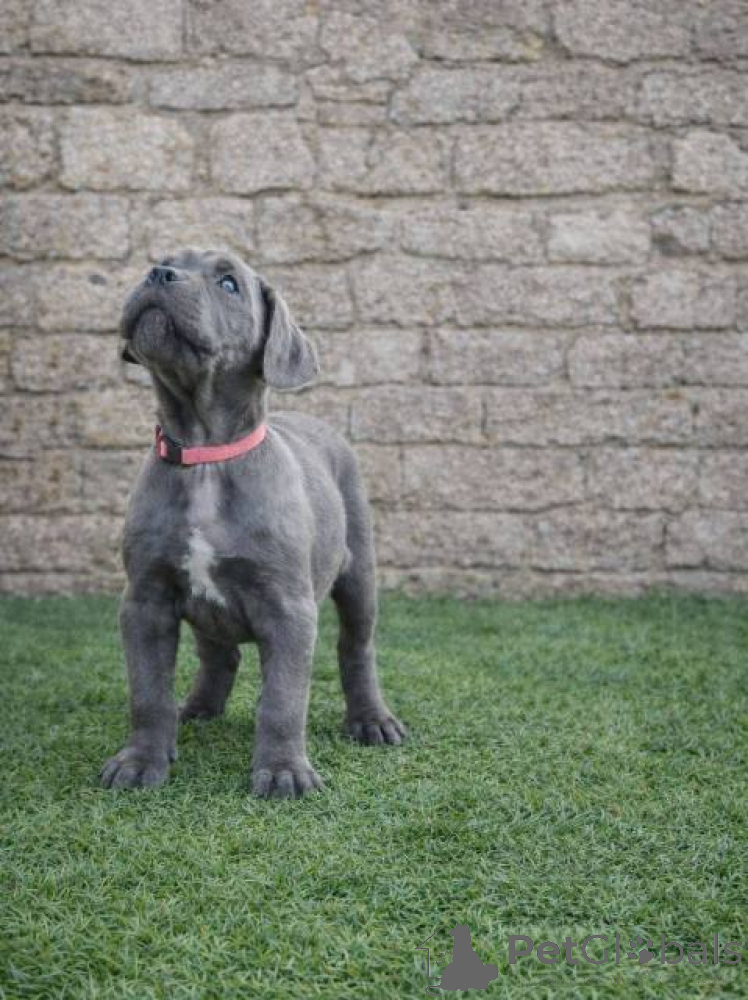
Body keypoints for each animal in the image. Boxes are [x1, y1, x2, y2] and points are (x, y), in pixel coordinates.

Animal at [100, 248, 405, 798]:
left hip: (359, 575)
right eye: (165, 260)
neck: (206, 455)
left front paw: (284, 771)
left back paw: (372, 720)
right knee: (220, 655)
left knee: (357, 647)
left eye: (228, 284)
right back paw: (199, 707)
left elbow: (284, 699)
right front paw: (140, 760)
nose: (158, 274)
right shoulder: (145, 601)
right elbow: (147, 692)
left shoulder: (288, 608)